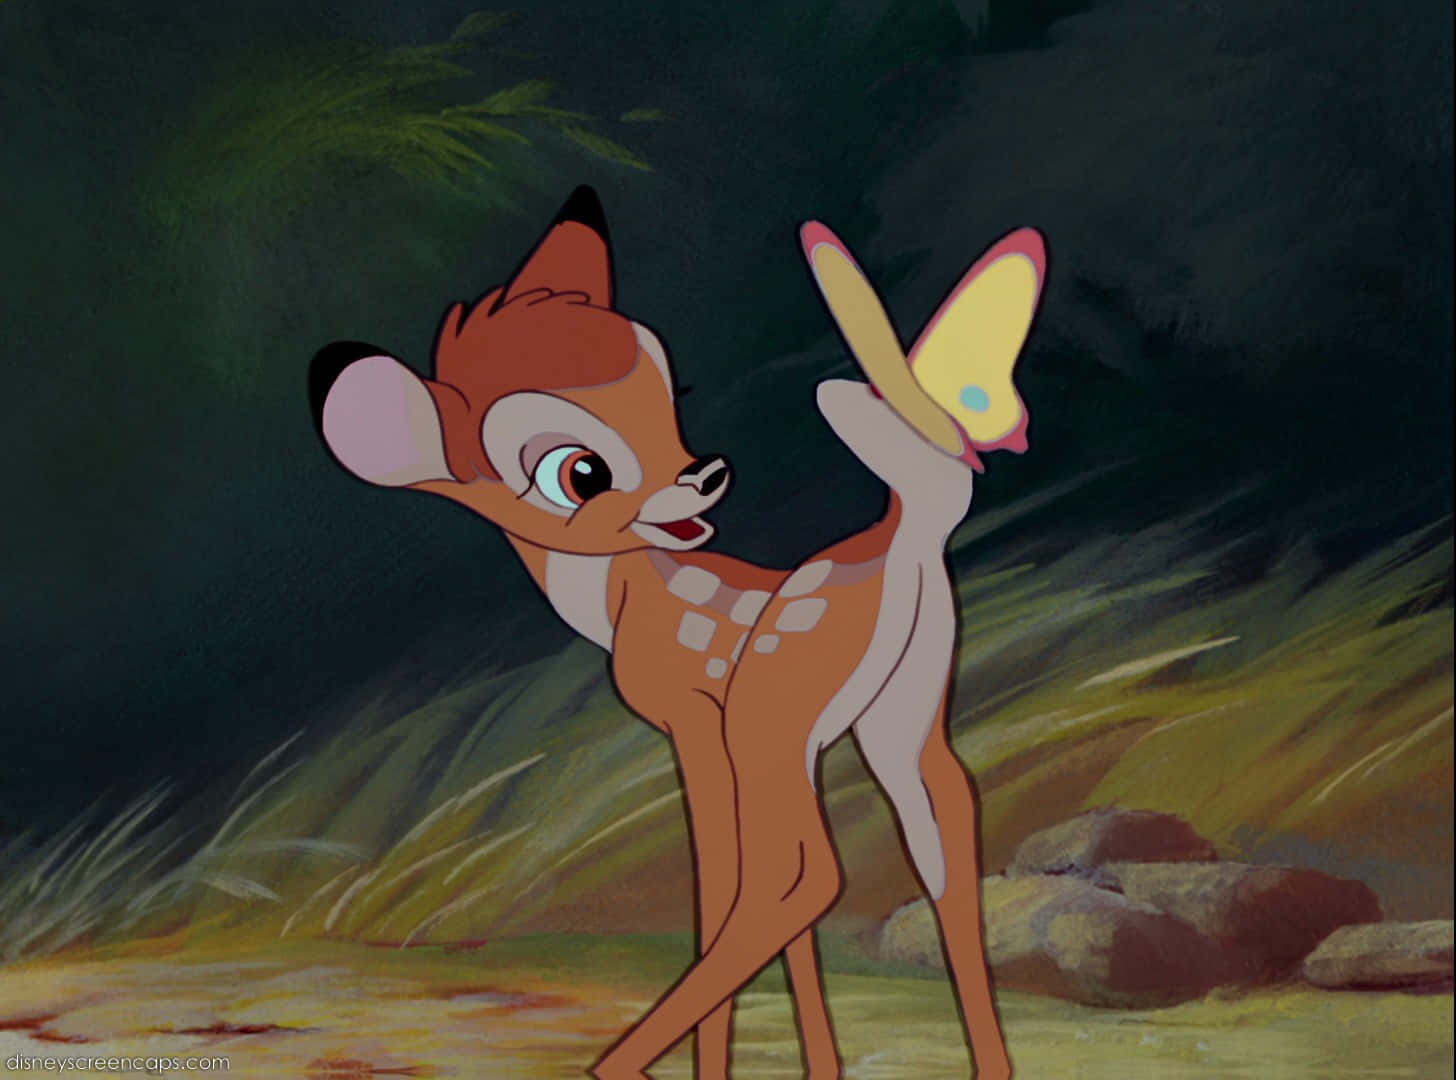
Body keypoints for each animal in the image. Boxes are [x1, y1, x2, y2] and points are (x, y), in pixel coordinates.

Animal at [310, 185, 1044, 1079]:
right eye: (579, 472)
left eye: (671, 399)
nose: (706, 474)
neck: (619, 598)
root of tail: (908, 534)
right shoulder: (771, 740)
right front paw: (816, 1069)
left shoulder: (695, 722)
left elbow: (722, 885)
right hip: (897, 722)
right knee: (944, 841)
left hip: (772, 715)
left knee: (805, 876)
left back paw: (615, 1063)